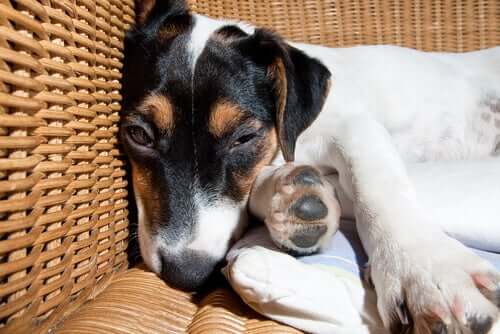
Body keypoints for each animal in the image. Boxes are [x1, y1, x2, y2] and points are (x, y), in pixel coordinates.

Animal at [122, 0, 500, 332]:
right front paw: (293, 195)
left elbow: (377, 181)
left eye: (244, 137)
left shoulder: (354, 126)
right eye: (139, 134)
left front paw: (426, 269)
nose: (187, 273)